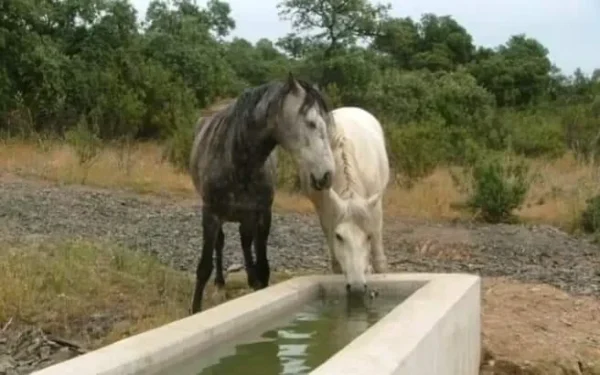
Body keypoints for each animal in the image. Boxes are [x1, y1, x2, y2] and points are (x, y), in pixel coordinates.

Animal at [190, 73, 336, 314]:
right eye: (311, 122)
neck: (238, 159)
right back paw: (220, 285)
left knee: (245, 241)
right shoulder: (210, 214)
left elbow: (263, 267)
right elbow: (203, 267)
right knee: (221, 243)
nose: (327, 175)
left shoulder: (262, 214)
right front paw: (195, 310)